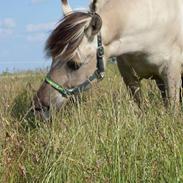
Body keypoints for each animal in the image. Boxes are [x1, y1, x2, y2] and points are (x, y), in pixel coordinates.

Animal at [34, 0, 183, 119]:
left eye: (74, 64)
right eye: (53, 58)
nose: (39, 107)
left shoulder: (171, 74)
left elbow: (172, 109)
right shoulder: (131, 78)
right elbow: (141, 107)